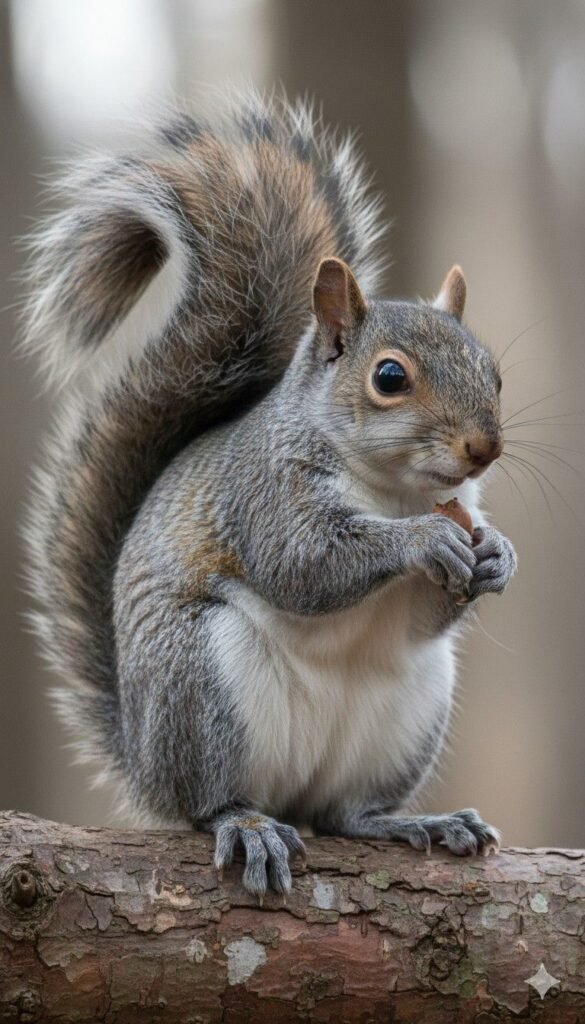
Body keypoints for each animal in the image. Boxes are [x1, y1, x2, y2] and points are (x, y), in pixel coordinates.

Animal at [23, 92, 517, 897]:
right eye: (389, 377)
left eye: (494, 373)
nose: (485, 449)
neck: (394, 491)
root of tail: (143, 760)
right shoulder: (262, 495)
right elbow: (305, 564)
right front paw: (419, 542)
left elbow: (430, 609)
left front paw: (499, 556)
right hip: (200, 685)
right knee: (208, 804)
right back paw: (247, 825)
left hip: (407, 717)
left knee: (346, 813)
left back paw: (413, 822)